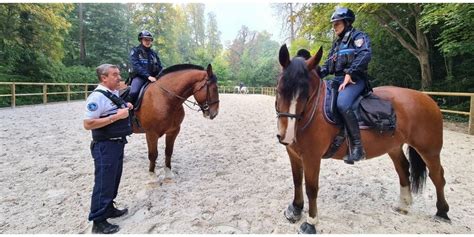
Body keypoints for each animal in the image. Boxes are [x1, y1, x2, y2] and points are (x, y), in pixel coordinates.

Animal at [274, 44, 448, 233]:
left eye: (306, 95)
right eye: (279, 90)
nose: (287, 135)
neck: (312, 111)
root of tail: (427, 98)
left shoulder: (312, 157)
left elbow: (311, 188)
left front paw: (311, 222)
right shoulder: (293, 154)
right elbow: (297, 181)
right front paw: (295, 209)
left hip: (429, 150)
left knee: (437, 176)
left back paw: (442, 212)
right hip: (394, 146)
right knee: (403, 168)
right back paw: (403, 205)